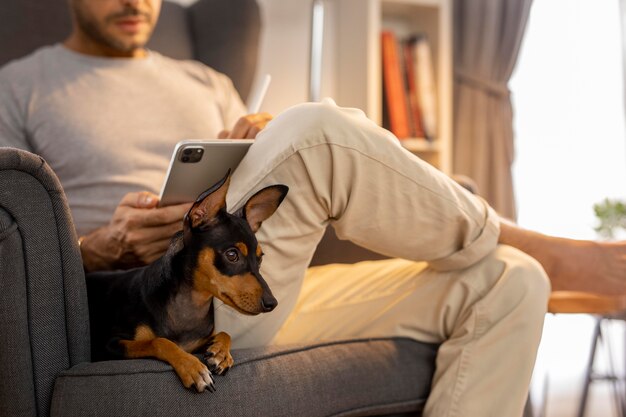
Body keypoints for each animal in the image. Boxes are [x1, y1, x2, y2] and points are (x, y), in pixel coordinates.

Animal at [85, 171, 288, 390]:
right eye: (232, 255)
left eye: (260, 259)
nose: (272, 303)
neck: (192, 302)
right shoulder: (108, 346)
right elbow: (160, 341)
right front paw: (192, 367)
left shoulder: (198, 343)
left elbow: (225, 333)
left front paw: (221, 353)